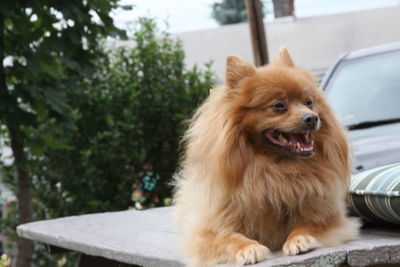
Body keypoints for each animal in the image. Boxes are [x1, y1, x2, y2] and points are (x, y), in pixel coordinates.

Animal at [173, 48, 360, 267]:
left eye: (309, 102)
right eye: (279, 105)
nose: (312, 118)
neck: (275, 170)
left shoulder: (330, 218)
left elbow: (309, 224)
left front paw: (299, 239)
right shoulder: (206, 233)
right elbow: (228, 236)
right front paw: (248, 248)